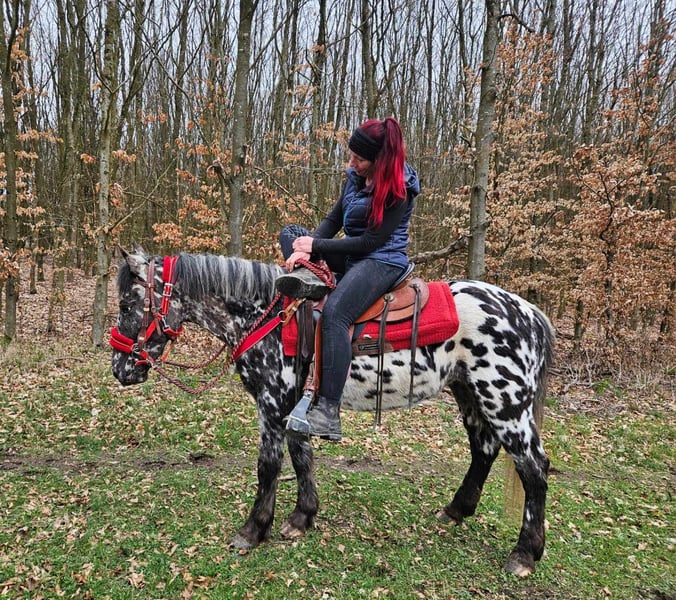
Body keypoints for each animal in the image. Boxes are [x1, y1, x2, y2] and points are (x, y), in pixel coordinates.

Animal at [110, 246, 554, 577]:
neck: (265, 315)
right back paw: (456, 511)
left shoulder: (272, 405)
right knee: (483, 451)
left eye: (128, 304)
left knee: (534, 469)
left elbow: (268, 466)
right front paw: (301, 517)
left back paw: (524, 554)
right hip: (471, 395)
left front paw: (252, 531)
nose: (119, 369)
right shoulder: (293, 406)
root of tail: (530, 314)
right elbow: (301, 456)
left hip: (506, 404)